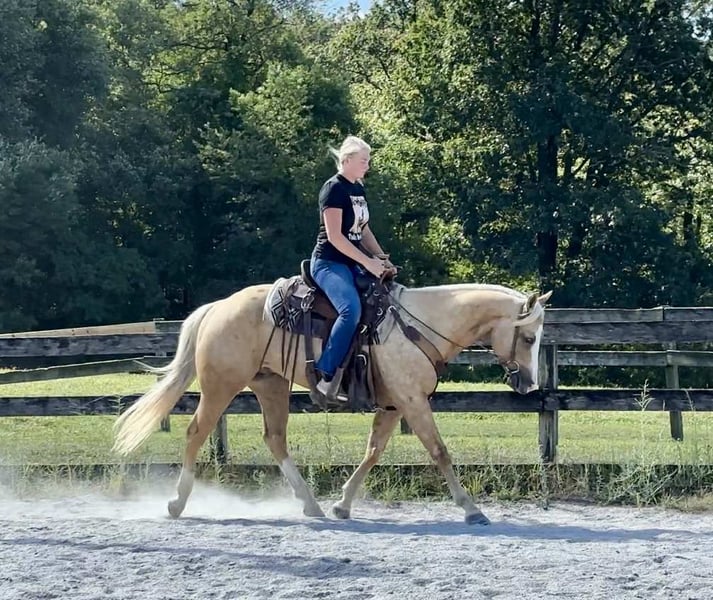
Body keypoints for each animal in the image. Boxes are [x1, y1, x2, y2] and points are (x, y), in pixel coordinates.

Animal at [113, 280, 552, 525]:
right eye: (529, 337)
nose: (529, 384)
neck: (419, 325)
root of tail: (217, 307)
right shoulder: (412, 401)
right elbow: (440, 452)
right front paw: (471, 509)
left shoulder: (394, 405)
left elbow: (373, 452)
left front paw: (342, 504)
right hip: (221, 386)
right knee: (195, 432)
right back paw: (176, 503)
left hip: (270, 386)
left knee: (275, 439)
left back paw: (312, 505)